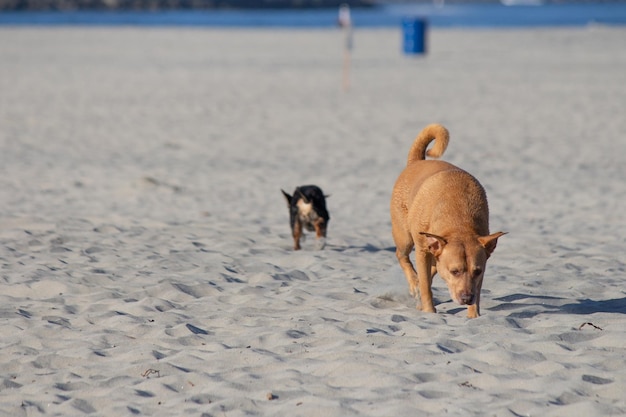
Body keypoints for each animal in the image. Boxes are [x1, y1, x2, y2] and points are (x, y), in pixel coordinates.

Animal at [390, 123, 502, 318]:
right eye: (455, 271)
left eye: (477, 271)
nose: (467, 298)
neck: (458, 223)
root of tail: (417, 162)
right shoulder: (422, 251)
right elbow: (426, 285)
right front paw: (429, 310)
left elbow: (477, 291)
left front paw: (474, 316)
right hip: (404, 237)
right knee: (402, 256)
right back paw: (414, 285)